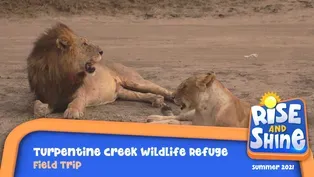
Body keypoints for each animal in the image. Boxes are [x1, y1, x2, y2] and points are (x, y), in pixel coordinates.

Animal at [26, 22, 174, 119]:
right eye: (84, 44)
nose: (102, 51)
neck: (61, 75)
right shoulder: (47, 95)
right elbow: (36, 106)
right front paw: (42, 109)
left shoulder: (81, 94)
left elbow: (76, 102)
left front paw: (72, 112)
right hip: (122, 92)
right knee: (143, 95)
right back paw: (157, 100)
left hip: (134, 80)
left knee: (160, 89)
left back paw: (172, 97)